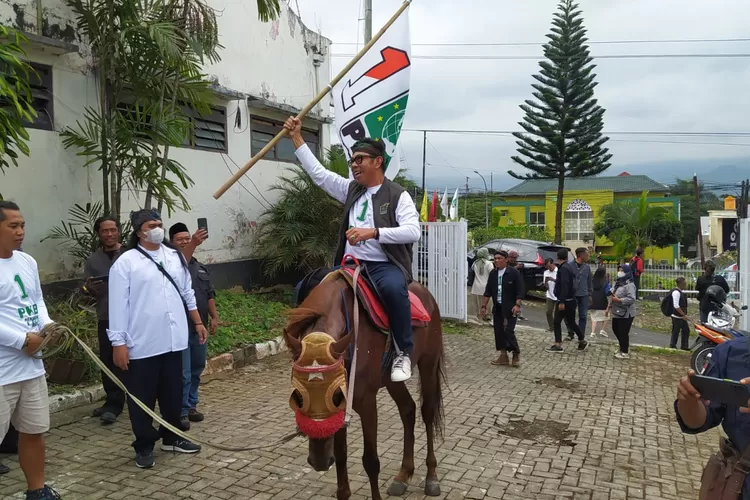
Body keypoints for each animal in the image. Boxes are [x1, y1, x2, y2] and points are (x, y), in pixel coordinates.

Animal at [284, 276, 444, 498]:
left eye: (335, 395)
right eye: (298, 397)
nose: (319, 462)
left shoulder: (367, 403)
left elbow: (371, 461)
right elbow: (341, 456)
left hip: (429, 363)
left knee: (427, 413)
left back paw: (431, 478)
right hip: (391, 380)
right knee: (408, 409)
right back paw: (403, 475)